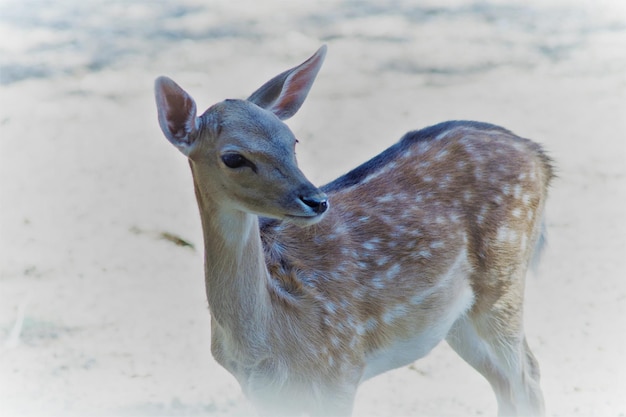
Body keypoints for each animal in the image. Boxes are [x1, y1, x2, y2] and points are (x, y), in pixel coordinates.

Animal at [155, 45, 552, 416]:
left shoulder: (342, 366)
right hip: (456, 318)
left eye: (292, 140)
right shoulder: (260, 392)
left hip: (504, 282)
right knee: (507, 385)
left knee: (528, 377)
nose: (316, 200)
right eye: (233, 158)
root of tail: (540, 157)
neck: (267, 342)